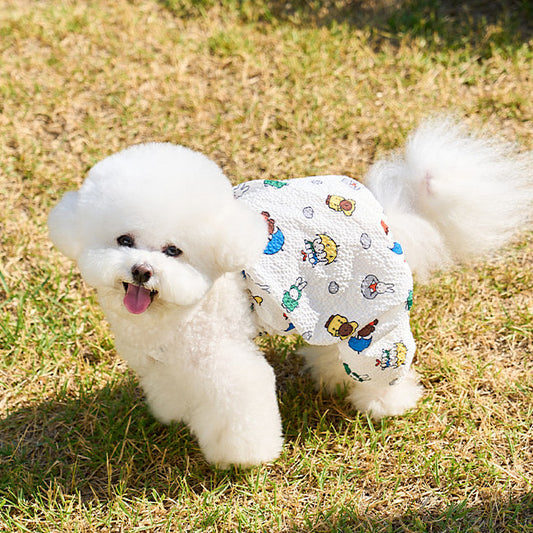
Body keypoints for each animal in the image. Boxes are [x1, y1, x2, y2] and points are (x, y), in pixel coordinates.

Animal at [47, 117, 528, 466]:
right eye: (124, 240)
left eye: (173, 251)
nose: (143, 271)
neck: (180, 309)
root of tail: (386, 214)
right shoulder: (167, 360)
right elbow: (174, 389)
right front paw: (177, 415)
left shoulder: (226, 362)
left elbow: (241, 406)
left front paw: (241, 461)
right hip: (335, 306)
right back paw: (332, 377)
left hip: (374, 309)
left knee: (382, 359)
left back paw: (384, 402)